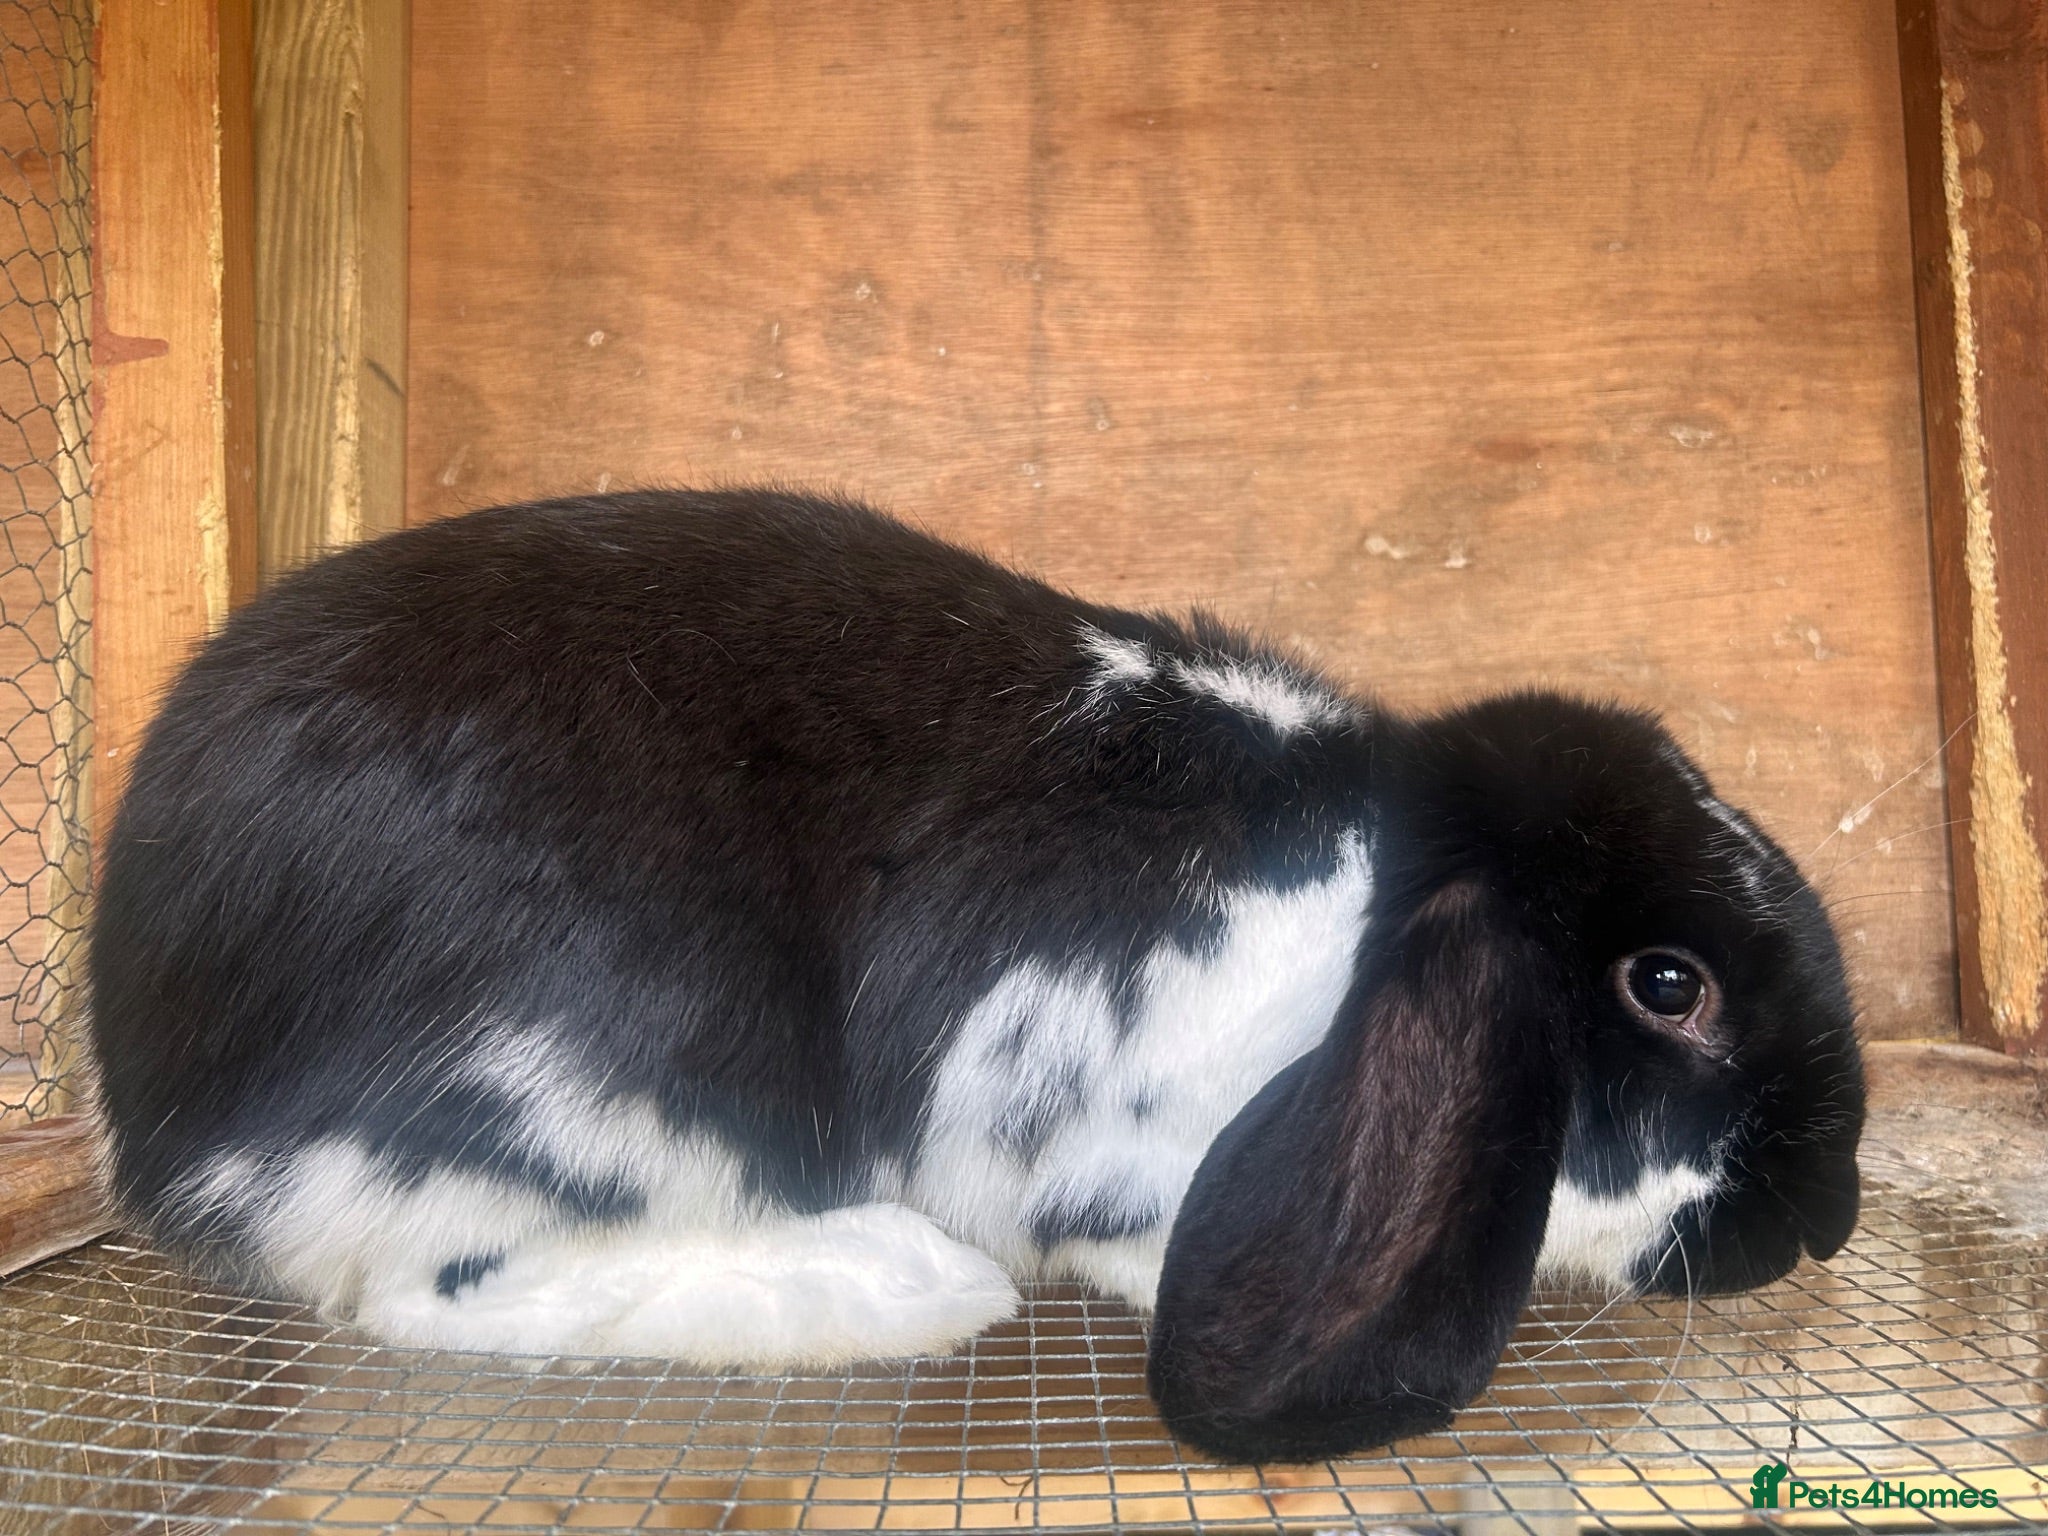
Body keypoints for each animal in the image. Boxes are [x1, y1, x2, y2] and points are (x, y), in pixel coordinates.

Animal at [87, 488, 1864, 1463]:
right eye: (1668, 987)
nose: (1827, 1217)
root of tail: (153, 1105)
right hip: (614, 1073)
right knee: (425, 1287)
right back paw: (900, 1284)